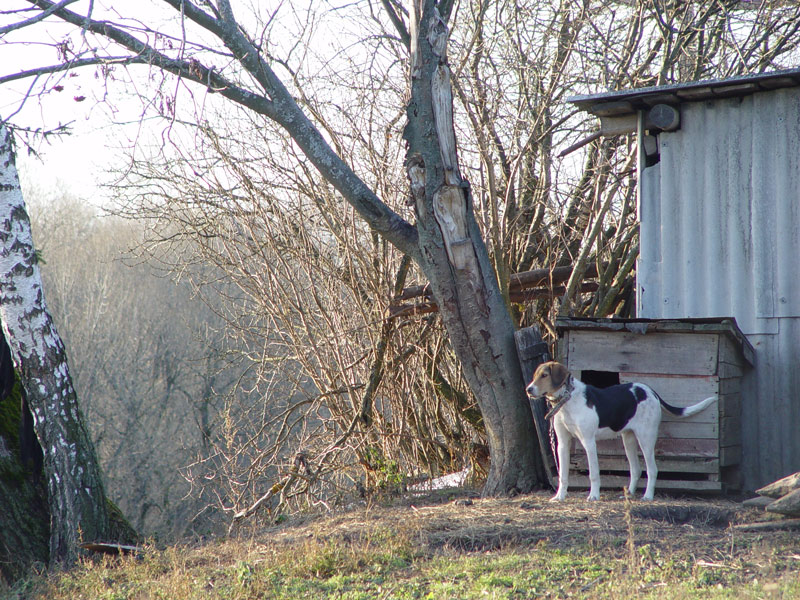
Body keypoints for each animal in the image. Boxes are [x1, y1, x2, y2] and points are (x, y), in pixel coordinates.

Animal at [528, 360, 716, 502]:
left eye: (544, 375)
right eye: (535, 376)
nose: (528, 389)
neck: (567, 400)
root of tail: (649, 390)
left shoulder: (588, 442)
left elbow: (594, 473)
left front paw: (594, 496)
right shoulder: (562, 444)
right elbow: (563, 475)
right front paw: (559, 497)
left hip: (646, 439)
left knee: (652, 469)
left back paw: (648, 496)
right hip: (628, 439)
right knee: (636, 469)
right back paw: (629, 494)